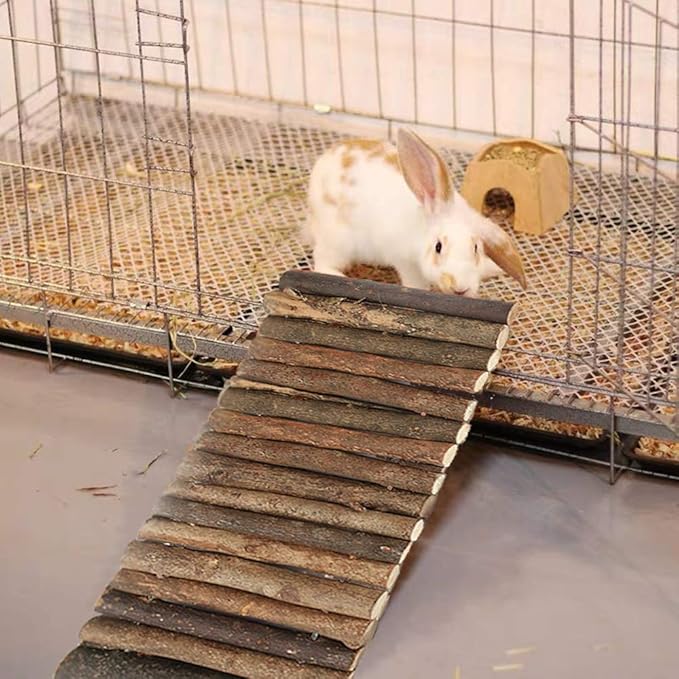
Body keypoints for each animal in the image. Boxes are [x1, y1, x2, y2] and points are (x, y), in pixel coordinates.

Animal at [303, 128, 527, 297]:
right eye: (438, 247)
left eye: (476, 248)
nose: (460, 288)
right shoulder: (405, 262)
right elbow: (415, 282)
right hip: (338, 243)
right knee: (322, 261)